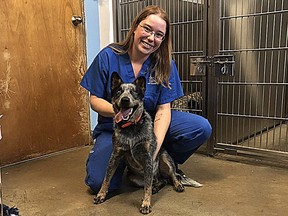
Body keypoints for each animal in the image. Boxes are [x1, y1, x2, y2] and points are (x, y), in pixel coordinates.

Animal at [94, 72, 184, 214]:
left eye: (134, 92)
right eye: (119, 92)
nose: (125, 99)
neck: (130, 127)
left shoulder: (148, 158)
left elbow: (147, 187)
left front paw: (146, 204)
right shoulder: (115, 156)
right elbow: (106, 178)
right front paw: (101, 195)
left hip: (166, 160)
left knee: (172, 175)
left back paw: (177, 184)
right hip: (134, 178)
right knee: (161, 181)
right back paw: (156, 187)